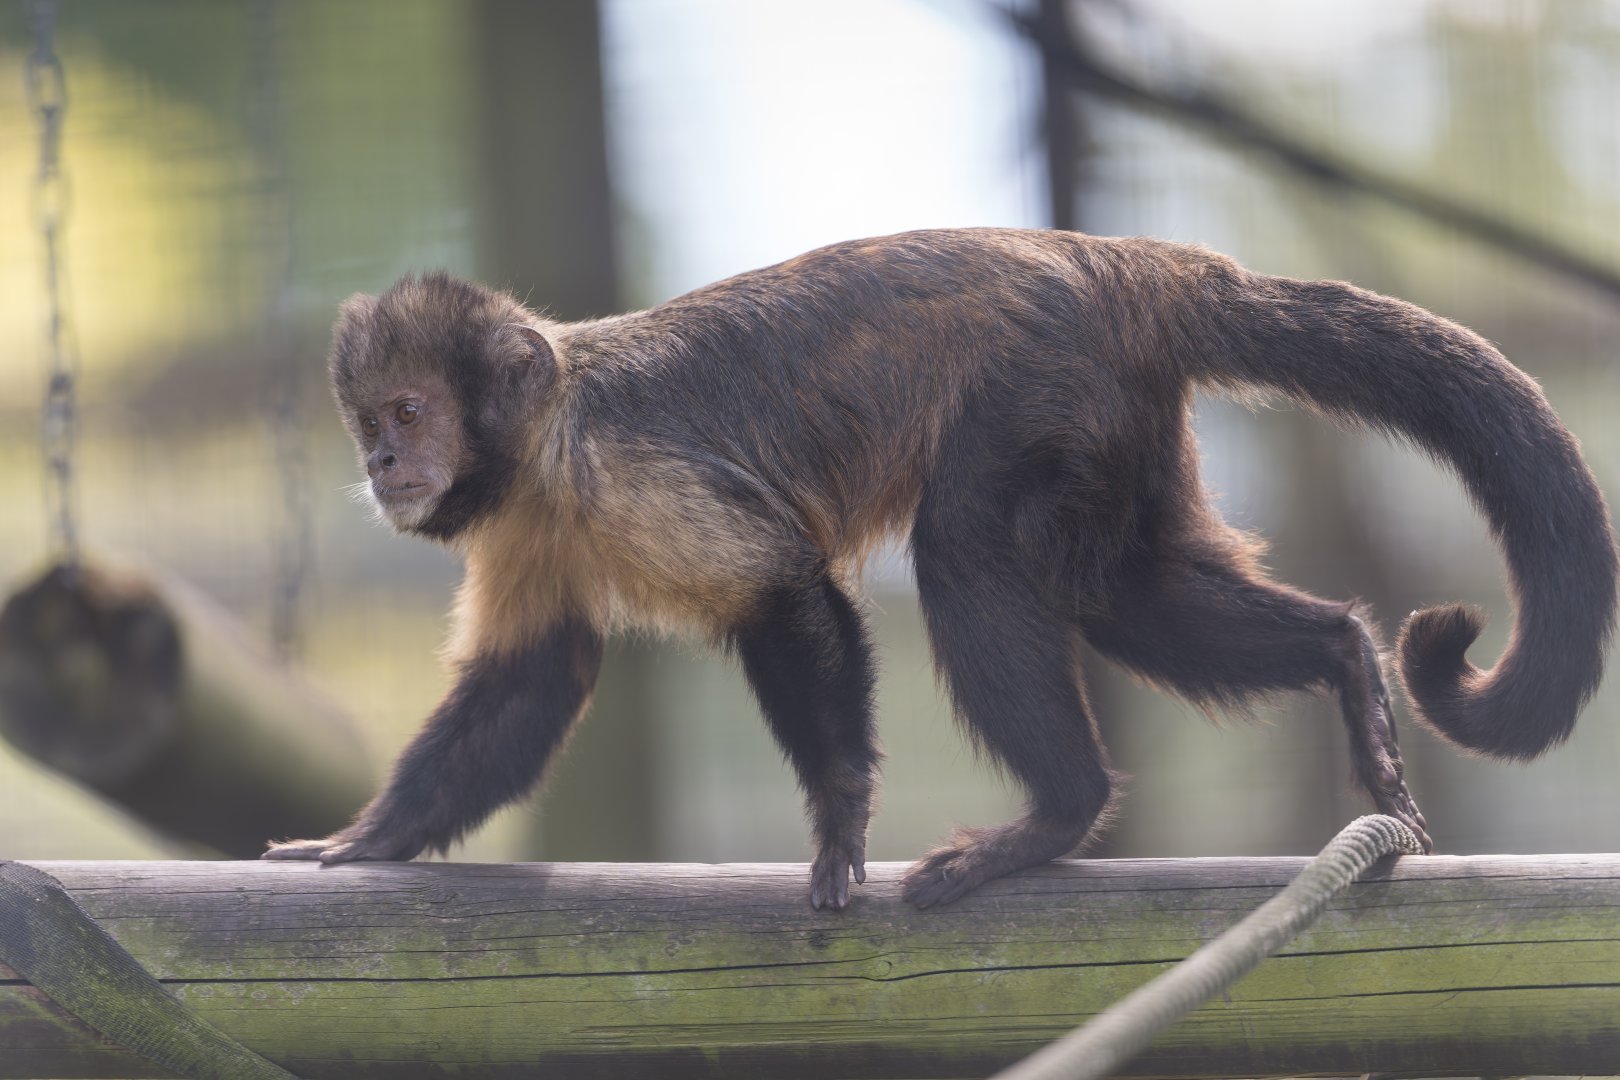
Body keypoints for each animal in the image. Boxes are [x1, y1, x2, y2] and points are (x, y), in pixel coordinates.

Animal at [263, 228, 1618, 911]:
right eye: (369, 421)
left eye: (410, 411)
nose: (383, 459)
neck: (546, 442)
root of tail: (1126, 261)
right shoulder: (530, 519)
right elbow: (531, 677)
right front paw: (370, 842)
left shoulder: (622, 472)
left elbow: (785, 589)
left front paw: (839, 823)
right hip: (1118, 413)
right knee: (1123, 596)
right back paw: (1344, 660)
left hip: (1046, 387)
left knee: (970, 552)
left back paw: (1059, 813)